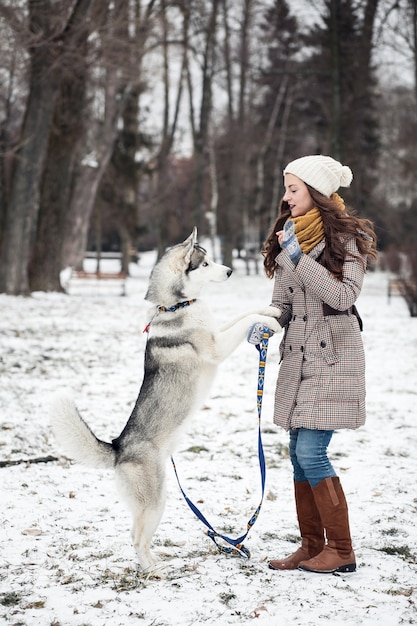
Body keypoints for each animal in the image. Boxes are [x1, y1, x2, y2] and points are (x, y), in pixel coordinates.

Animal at [50, 227, 282, 568]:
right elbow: (242, 322)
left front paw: (269, 310)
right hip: (156, 500)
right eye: (205, 263)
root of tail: (119, 447)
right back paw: (153, 570)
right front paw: (272, 321)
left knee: (137, 535)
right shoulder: (217, 346)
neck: (179, 305)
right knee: (136, 538)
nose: (229, 270)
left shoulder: (218, 331)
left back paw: (158, 559)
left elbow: (242, 314)